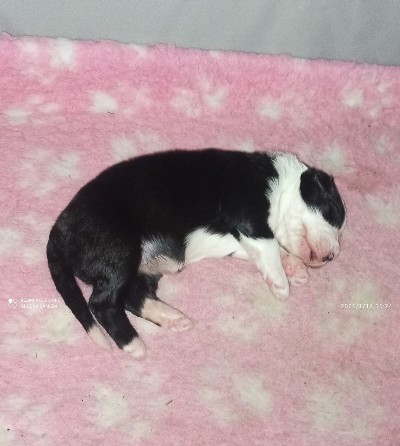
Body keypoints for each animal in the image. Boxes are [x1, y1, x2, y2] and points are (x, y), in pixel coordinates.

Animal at [47, 148, 346, 357]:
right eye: (332, 213)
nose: (332, 256)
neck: (282, 181)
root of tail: (59, 229)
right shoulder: (246, 209)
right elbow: (269, 244)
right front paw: (282, 284)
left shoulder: (241, 241)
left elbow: (269, 250)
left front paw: (296, 270)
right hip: (119, 247)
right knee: (102, 302)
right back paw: (133, 345)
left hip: (140, 266)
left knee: (132, 296)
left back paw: (174, 319)